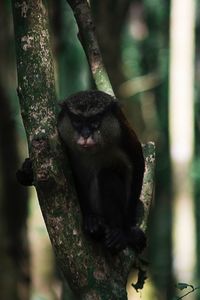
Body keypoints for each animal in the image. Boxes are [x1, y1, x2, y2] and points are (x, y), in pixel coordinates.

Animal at [57, 89, 146, 253]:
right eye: (77, 121)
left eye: (94, 121)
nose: (85, 134)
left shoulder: (123, 135)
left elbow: (137, 166)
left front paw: (126, 231)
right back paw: (93, 221)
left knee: (107, 175)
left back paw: (116, 231)